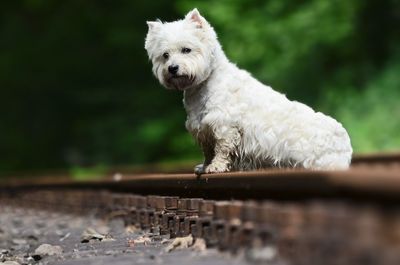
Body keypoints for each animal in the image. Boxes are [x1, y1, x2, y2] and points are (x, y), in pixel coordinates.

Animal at [145, 7, 352, 173]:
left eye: (186, 50)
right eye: (165, 55)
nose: (172, 68)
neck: (203, 87)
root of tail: (345, 142)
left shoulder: (225, 125)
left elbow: (221, 149)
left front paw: (215, 167)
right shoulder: (202, 130)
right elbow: (208, 151)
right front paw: (204, 167)